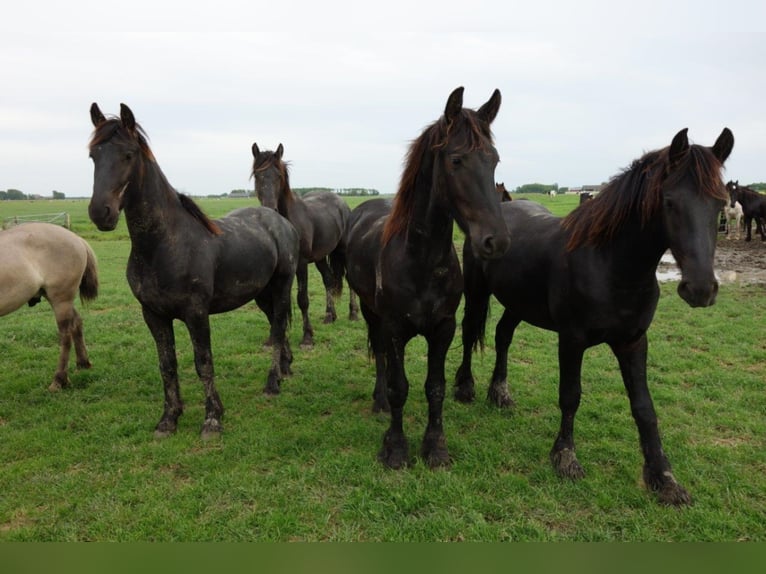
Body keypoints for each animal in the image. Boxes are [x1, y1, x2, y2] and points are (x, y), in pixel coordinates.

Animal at [1, 222, 99, 391]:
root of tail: (76, 238)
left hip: (61, 300)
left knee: (66, 336)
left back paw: (59, 380)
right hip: (57, 299)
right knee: (77, 323)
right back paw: (83, 363)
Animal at [87, 103, 299, 439]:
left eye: (128, 154)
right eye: (93, 155)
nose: (100, 213)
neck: (163, 244)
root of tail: (277, 220)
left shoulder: (196, 313)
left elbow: (203, 363)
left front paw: (212, 419)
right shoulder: (154, 315)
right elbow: (167, 365)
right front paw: (169, 419)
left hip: (281, 287)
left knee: (277, 329)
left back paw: (272, 383)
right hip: (261, 294)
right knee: (276, 325)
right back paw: (284, 369)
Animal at [251, 143, 359, 348]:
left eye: (279, 176)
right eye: (257, 176)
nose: (270, 210)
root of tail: (341, 202)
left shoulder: (300, 264)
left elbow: (302, 299)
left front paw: (307, 337)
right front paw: (272, 338)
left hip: (343, 251)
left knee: (349, 280)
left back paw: (353, 313)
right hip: (320, 257)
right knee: (329, 280)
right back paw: (330, 315)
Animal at [345, 87, 510, 469]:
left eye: (494, 160)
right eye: (456, 160)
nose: (496, 241)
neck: (420, 262)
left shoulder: (443, 329)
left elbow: (435, 387)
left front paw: (435, 447)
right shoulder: (394, 328)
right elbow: (399, 386)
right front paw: (395, 448)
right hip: (371, 312)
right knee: (379, 354)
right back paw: (379, 401)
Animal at [454, 127, 734, 505]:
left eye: (720, 203)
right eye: (670, 202)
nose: (701, 289)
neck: (610, 264)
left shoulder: (633, 342)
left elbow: (644, 408)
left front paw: (664, 478)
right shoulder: (572, 340)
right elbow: (570, 395)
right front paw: (565, 458)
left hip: (519, 303)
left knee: (502, 336)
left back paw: (500, 393)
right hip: (477, 291)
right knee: (471, 331)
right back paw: (465, 388)